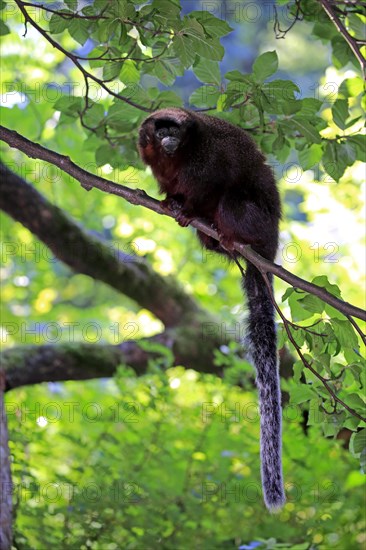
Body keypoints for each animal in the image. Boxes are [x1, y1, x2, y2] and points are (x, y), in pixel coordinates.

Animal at [139, 108, 284, 512]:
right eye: (161, 133)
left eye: (175, 132)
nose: (169, 140)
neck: (178, 155)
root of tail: (271, 245)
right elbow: (171, 188)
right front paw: (172, 202)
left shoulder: (206, 158)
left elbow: (212, 184)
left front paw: (187, 206)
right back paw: (212, 237)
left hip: (259, 219)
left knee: (232, 198)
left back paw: (235, 238)